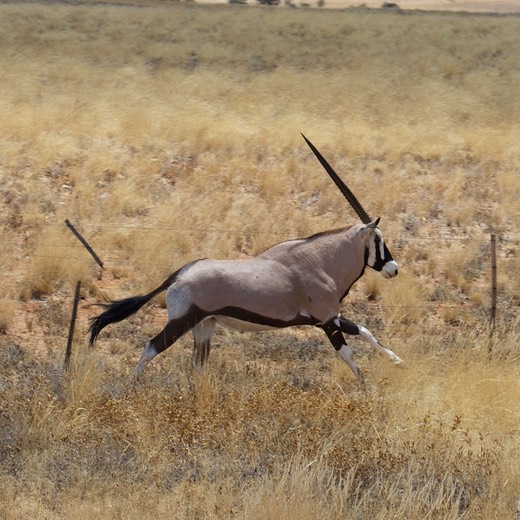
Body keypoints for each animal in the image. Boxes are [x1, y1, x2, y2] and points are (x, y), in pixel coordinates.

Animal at [88, 134, 402, 378]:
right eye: (378, 239)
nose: (393, 268)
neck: (323, 261)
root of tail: (177, 275)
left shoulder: (331, 317)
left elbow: (365, 331)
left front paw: (397, 360)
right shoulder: (326, 320)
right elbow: (348, 355)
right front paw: (366, 387)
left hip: (204, 326)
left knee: (197, 365)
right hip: (181, 322)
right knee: (151, 347)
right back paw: (129, 386)